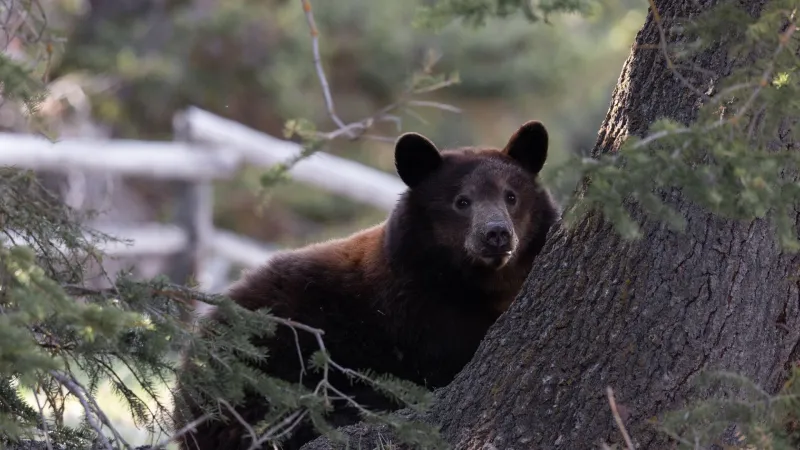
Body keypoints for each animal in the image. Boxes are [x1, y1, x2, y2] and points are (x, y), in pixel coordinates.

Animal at [172, 120, 560, 450]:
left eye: (511, 196)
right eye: (461, 201)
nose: (496, 233)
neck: (478, 282)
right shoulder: (421, 315)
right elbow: (447, 356)